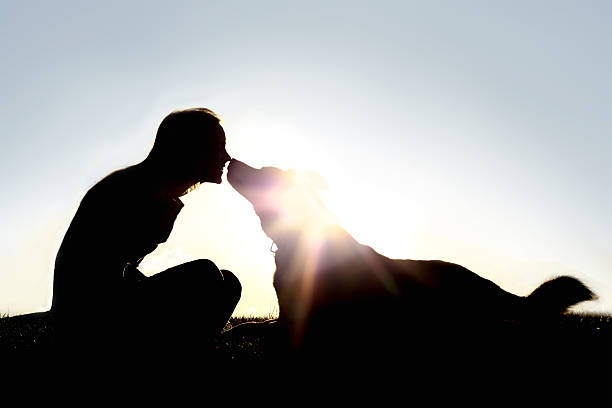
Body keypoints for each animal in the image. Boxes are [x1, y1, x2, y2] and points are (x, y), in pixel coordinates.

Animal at [227, 159, 596, 356]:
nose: (232, 161)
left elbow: (265, 333)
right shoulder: (287, 317)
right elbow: (247, 327)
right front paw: (232, 332)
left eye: (263, 172)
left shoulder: (305, 326)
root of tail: (493, 289)